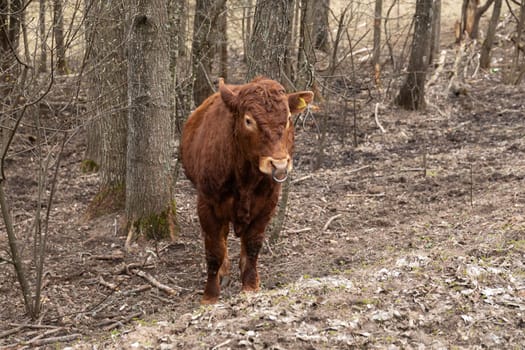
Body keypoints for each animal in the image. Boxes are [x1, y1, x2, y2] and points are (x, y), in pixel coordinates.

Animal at [181, 77, 312, 304]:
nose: (279, 164)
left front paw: (250, 286)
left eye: (288, 118)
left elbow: (252, 246)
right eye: (248, 121)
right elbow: (214, 251)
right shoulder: (207, 204)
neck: (244, 178)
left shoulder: (267, 204)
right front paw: (210, 295)